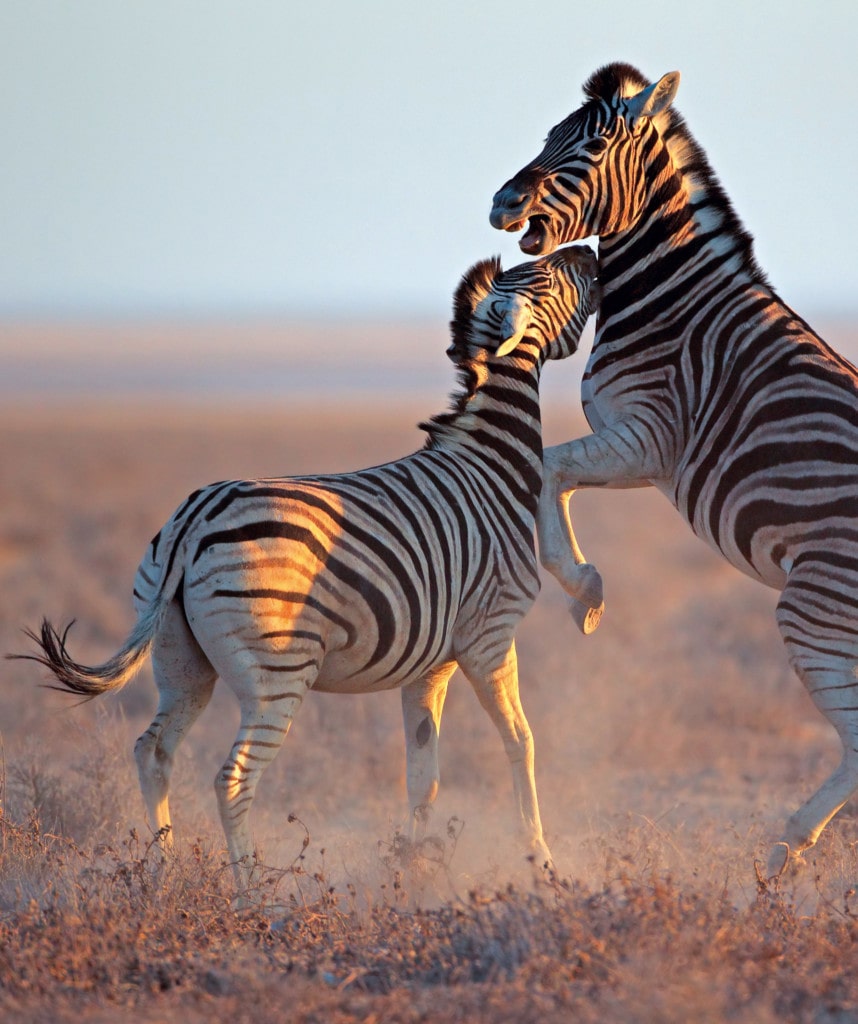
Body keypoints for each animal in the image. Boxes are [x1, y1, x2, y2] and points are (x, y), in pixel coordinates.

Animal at [14, 246, 600, 896]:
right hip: (278, 674)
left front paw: (413, 870)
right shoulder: (491, 637)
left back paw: (162, 871)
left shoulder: (431, 662)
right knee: (231, 779)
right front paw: (542, 862)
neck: (490, 464)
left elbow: (423, 772)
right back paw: (255, 898)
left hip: (179, 660)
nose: (588, 253)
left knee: (153, 752)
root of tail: (193, 521)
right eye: (550, 277)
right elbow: (520, 742)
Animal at [489, 61, 858, 878]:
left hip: (815, 609)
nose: (501, 202)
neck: (670, 298)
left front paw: (585, 590)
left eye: (590, 149)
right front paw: (584, 590)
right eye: (548, 136)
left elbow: (547, 468)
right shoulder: (641, 451)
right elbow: (553, 474)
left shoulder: (649, 437)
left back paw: (784, 847)